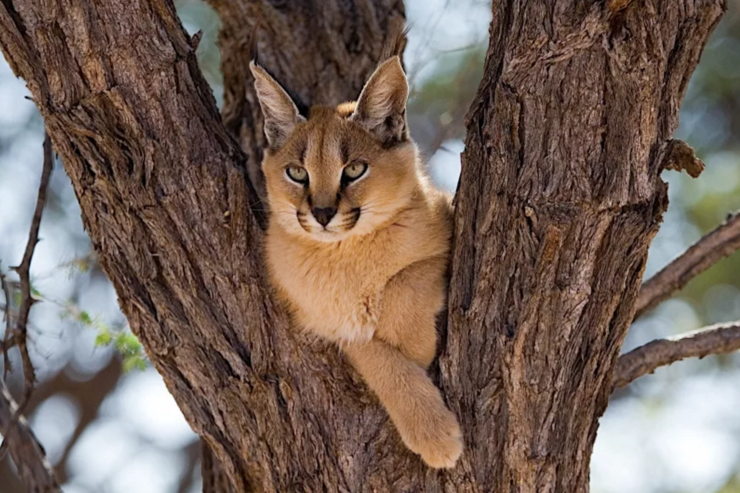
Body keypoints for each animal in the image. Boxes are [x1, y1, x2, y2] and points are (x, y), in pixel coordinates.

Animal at [253, 55, 462, 468]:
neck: (346, 253)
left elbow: (406, 281)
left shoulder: (445, 231)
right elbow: (379, 360)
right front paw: (434, 434)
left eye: (354, 170)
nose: (322, 213)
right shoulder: (334, 326)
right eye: (296, 173)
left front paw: (414, 341)